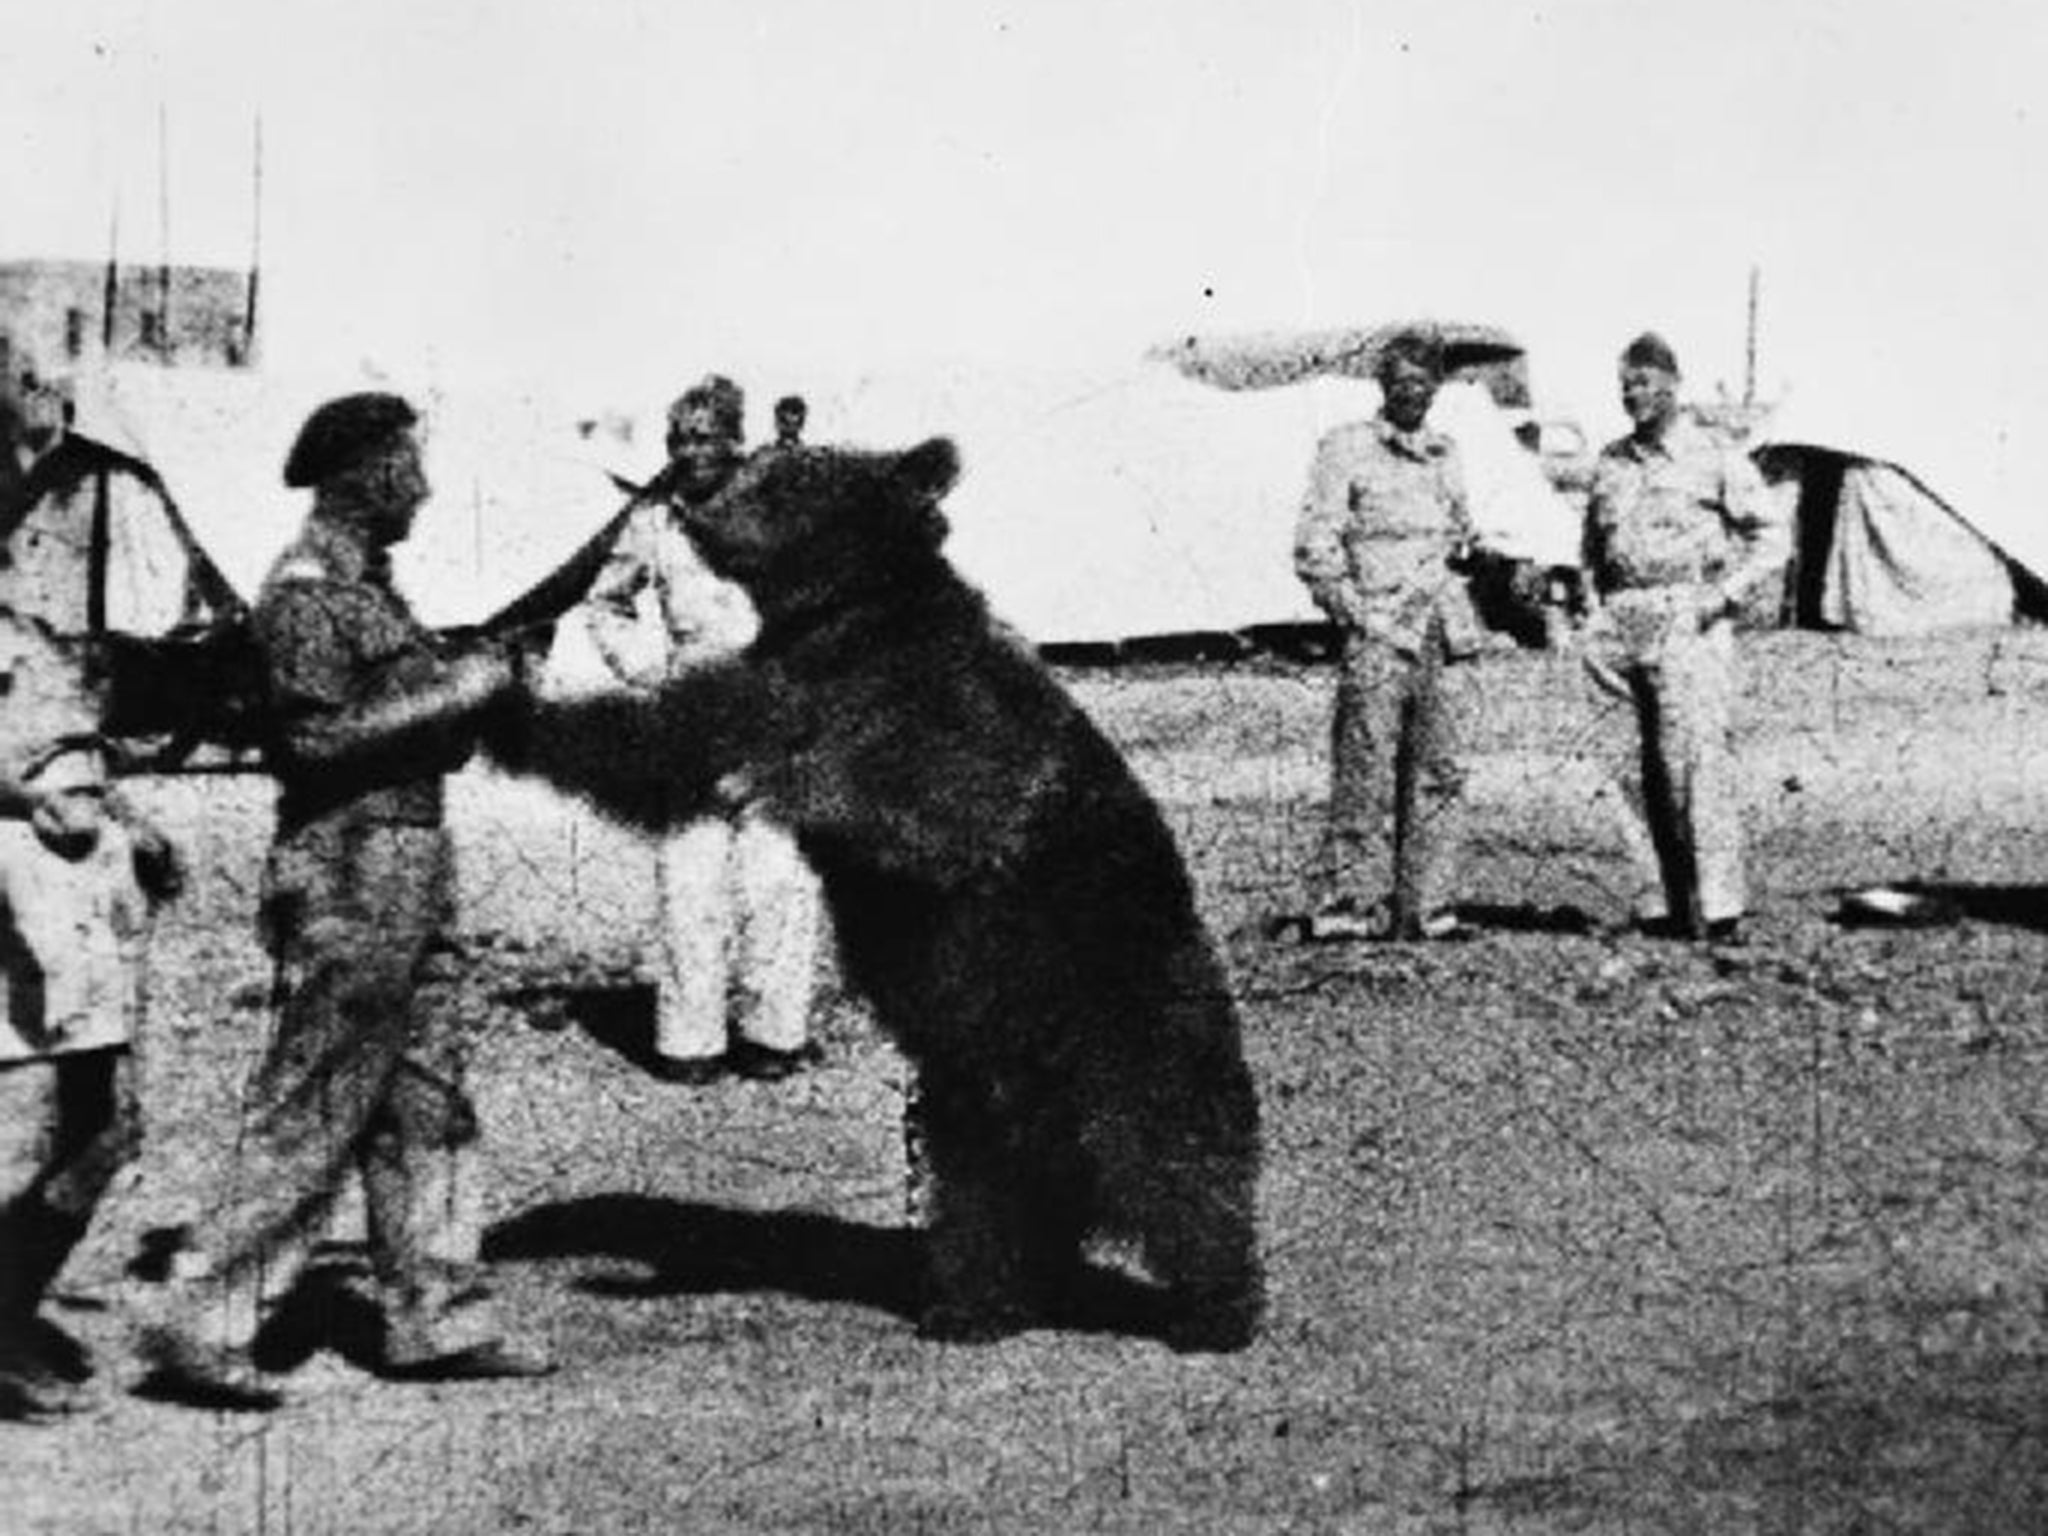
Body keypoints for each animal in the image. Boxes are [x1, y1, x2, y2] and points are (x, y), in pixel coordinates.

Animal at [495, 438, 1261, 1351]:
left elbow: (929, 800)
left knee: (1170, 1161)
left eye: (780, 470)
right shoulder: (768, 684)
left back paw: (1214, 1307)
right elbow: (655, 744)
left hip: (1121, 1026)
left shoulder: (936, 710)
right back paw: (974, 1303)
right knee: (982, 1205)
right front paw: (512, 699)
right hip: (974, 1095)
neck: (838, 618)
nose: (694, 484)